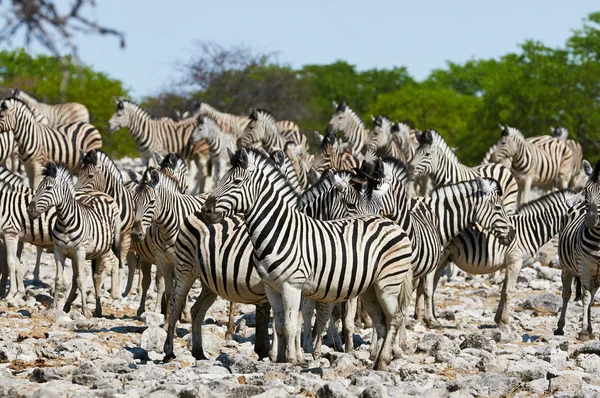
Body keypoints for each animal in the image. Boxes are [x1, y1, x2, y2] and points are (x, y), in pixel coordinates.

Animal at [27, 162, 120, 318]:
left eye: (48, 188)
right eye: (38, 187)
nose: (30, 211)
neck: (65, 222)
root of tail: (98, 194)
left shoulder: (80, 251)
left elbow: (82, 280)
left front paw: (85, 310)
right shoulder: (59, 251)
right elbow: (59, 280)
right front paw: (54, 307)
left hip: (102, 251)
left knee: (96, 278)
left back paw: (98, 310)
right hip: (74, 256)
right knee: (75, 277)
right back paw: (66, 306)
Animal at [200, 148, 412, 370]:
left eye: (237, 182)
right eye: (221, 179)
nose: (206, 210)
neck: (280, 231)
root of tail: (392, 223)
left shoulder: (292, 286)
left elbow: (293, 324)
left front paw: (294, 359)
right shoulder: (271, 287)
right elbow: (280, 325)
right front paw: (281, 359)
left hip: (387, 284)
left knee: (395, 318)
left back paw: (384, 359)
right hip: (371, 288)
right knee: (381, 321)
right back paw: (378, 361)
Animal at [436, 190, 580, 330]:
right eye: (581, 211)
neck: (530, 230)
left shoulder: (509, 263)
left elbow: (503, 290)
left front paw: (498, 320)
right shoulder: (515, 262)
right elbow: (510, 291)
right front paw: (506, 321)